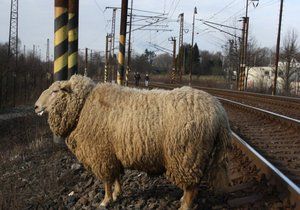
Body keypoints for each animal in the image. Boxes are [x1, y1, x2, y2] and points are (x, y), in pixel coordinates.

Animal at [35, 74, 232, 209]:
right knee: (193, 186)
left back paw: (184, 206)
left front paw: (105, 201)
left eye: (55, 91)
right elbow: (116, 176)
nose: (36, 107)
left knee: (191, 187)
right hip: (192, 156)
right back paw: (182, 199)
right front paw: (117, 194)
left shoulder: (101, 153)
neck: (83, 107)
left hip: (186, 155)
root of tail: (220, 113)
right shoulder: (112, 152)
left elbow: (106, 180)